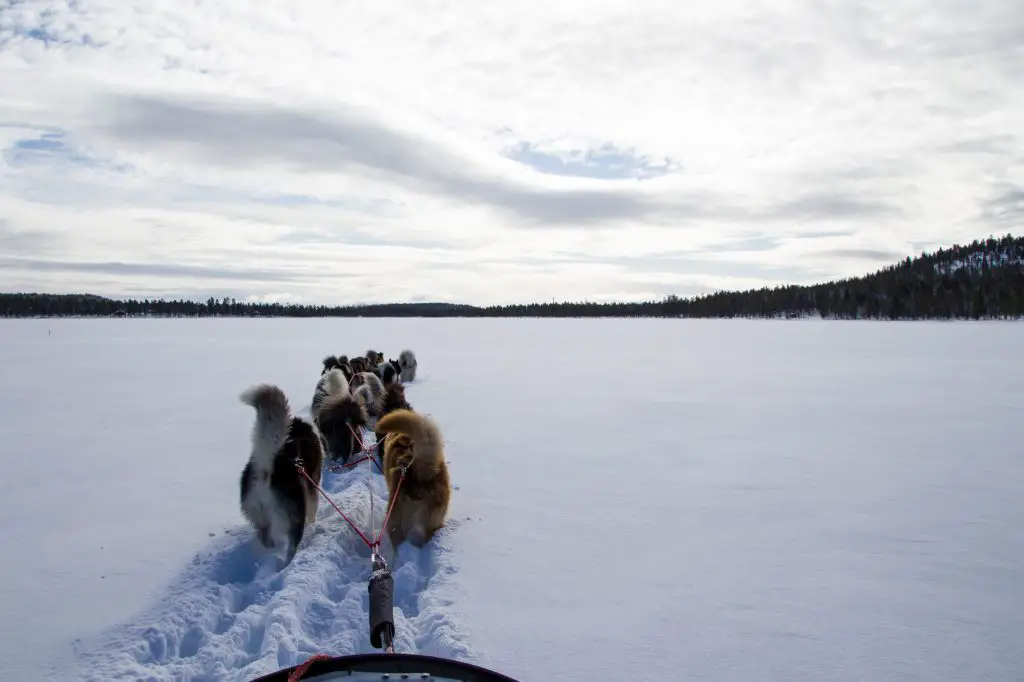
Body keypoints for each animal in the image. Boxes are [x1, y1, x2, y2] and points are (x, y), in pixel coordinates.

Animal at [237, 382, 321, 569]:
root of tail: (267, 468)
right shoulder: (313, 487)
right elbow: (313, 510)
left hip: (260, 516)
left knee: (265, 538)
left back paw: (271, 550)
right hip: (295, 516)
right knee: (292, 546)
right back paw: (285, 564)